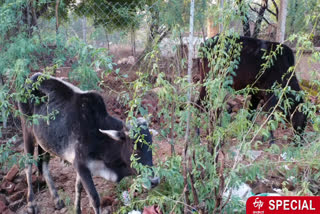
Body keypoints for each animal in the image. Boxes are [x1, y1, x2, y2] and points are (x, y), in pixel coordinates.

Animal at [18, 72, 159, 213]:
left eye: (151, 146)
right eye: (134, 147)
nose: (154, 181)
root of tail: (32, 77)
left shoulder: (80, 165)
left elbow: (78, 187)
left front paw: (77, 209)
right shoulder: (81, 165)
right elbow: (94, 199)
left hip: (45, 142)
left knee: (44, 165)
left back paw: (57, 200)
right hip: (27, 130)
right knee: (28, 166)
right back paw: (31, 204)